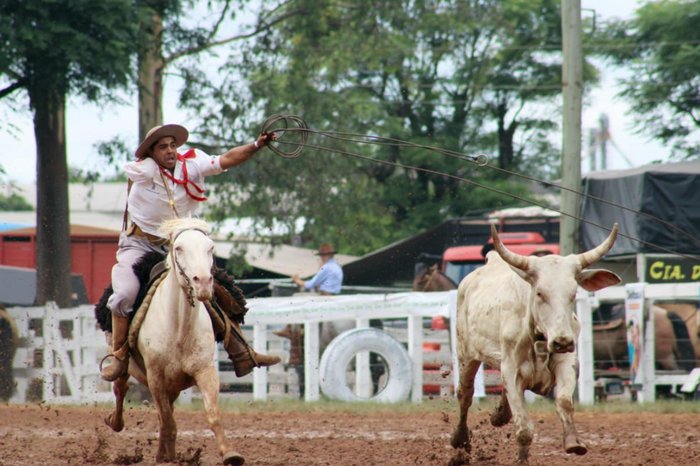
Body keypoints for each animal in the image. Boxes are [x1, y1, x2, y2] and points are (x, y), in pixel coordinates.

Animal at [105, 218, 245, 466]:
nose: (203, 282)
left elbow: (211, 414)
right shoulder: (156, 377)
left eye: (210, 248)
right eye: (179, 248)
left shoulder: (205, 370)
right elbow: (167, 420)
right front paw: (167, 457)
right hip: (127, 363)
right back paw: (116, 422)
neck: (179, 328)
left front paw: (230, 453)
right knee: (120, 387)